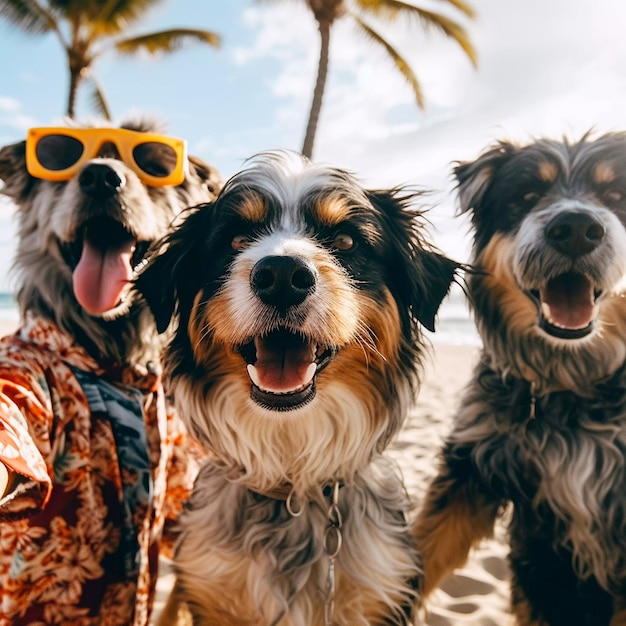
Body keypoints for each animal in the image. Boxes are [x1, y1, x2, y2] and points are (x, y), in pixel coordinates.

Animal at [412, 133, 626, 624]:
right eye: (526, 198)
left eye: (616, 196)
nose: (576, 228)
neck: (571, 382)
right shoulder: (472, 468)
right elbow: (419, 558)